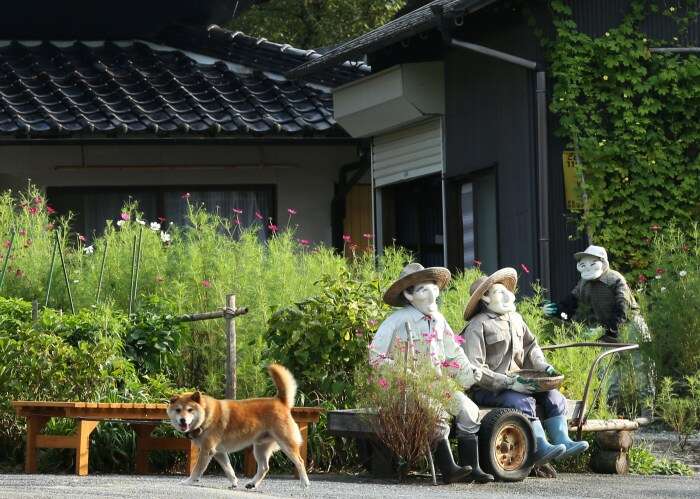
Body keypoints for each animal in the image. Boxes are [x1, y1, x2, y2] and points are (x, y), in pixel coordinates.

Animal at [167, 366, 308, 490]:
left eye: (190, 410)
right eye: (178, 410)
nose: (182, 420)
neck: (207, 415)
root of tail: (280, 401)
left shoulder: (207, 450)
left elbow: (197, 470)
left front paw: (188, 481)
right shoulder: (219, 452)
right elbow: (229, 469)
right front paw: (234, 482)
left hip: (286, 444)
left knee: (300, 462)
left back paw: (304, 483)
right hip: (260, 447)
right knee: (264, 468)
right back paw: (252, 484)